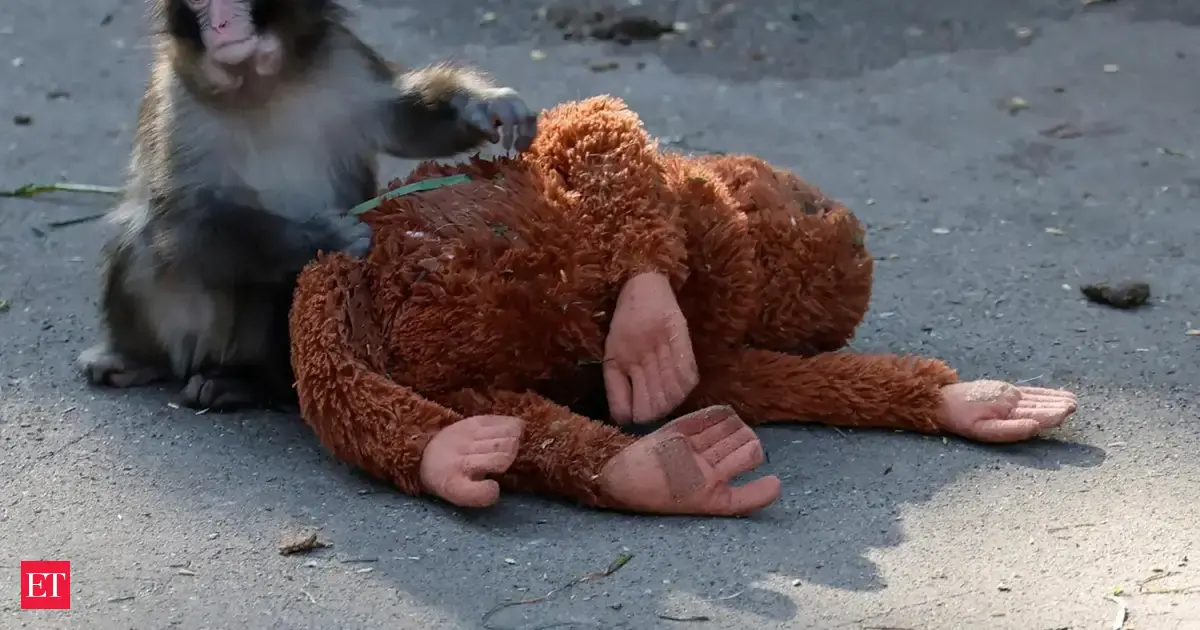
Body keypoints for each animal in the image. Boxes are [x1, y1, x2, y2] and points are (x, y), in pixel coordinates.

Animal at [76, 0, 539, 411]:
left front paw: (484, 104)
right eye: (199, 1)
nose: (221, 26)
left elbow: (405, 123)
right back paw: (139, 359)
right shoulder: (174, 99)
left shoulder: (344, 60)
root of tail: (193, 356)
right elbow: (178, 219)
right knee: (139, 242)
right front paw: (325, 235)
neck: (259, 85)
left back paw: (248, 382)